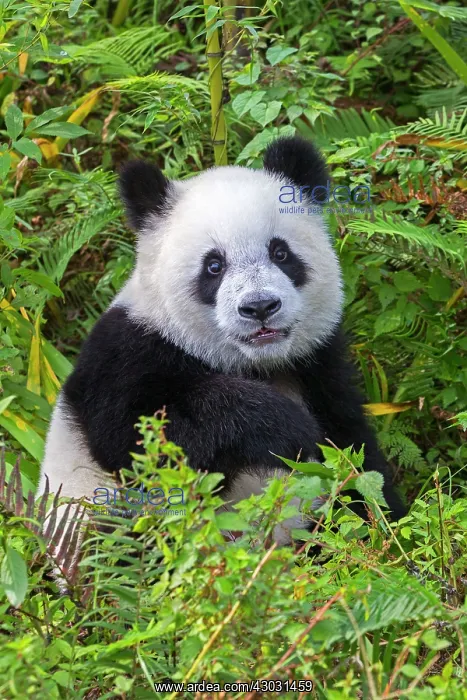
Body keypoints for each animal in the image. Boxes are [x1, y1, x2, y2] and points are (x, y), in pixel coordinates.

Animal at [39, 136, 406, 550]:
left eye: (280, 252)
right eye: (214, 266)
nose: (260, 307)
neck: (252, 363)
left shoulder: (316, 363)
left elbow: (355, 456)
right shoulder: (126, 352)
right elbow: (139, 438)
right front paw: (285, 427)